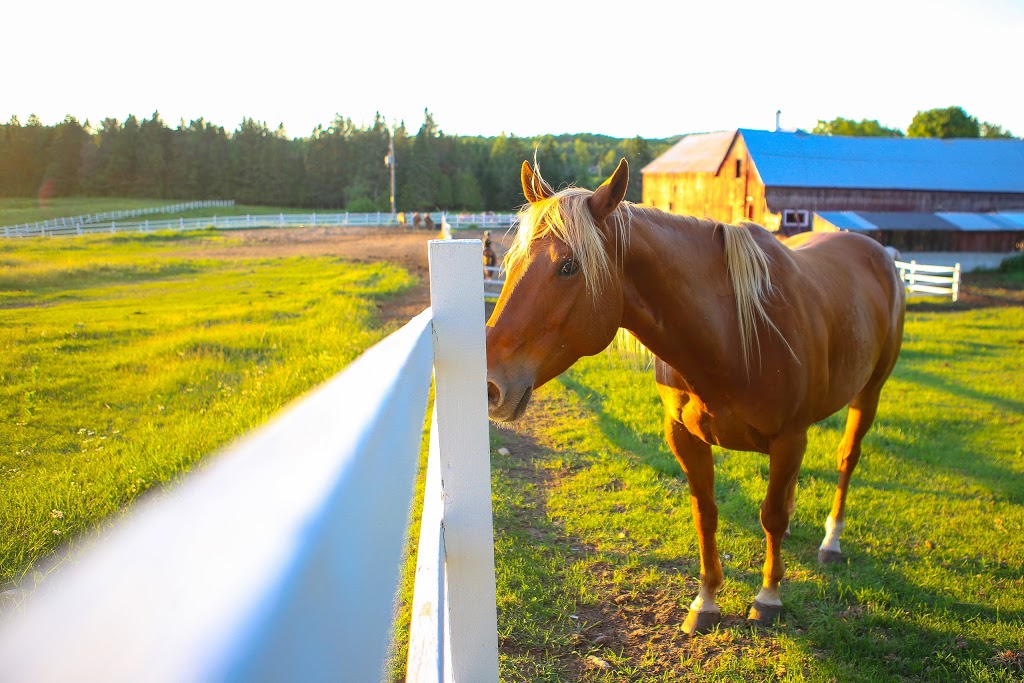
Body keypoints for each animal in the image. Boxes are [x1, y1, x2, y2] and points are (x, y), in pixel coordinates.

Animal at [487, 157, 905, 634]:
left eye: (569, 266)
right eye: (511, 261)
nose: (490, 383)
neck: (733, 333)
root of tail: (878, 253)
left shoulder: (789, 437)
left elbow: (771, 515)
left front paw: (768, 596)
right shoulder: (685, 437)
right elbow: (706, 513)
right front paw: (705, 601)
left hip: (868, 394)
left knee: (847, 459)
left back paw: (831, 540)